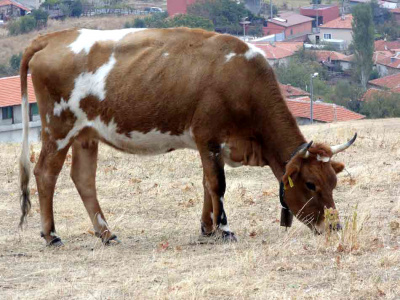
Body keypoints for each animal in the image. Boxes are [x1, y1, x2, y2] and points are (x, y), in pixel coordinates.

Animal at [18, 27, 356, 246]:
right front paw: (224, 229)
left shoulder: (208, 145)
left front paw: (207, 228)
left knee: (83, 179)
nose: (335, 226)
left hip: (86, 134)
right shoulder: (209, 138)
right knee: (45, 173)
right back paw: (51, 235)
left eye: (333, 182)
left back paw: (106, 233)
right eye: (310, 184)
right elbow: (217, 184)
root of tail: (52, 38)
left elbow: (207, 184)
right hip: (58, 128)